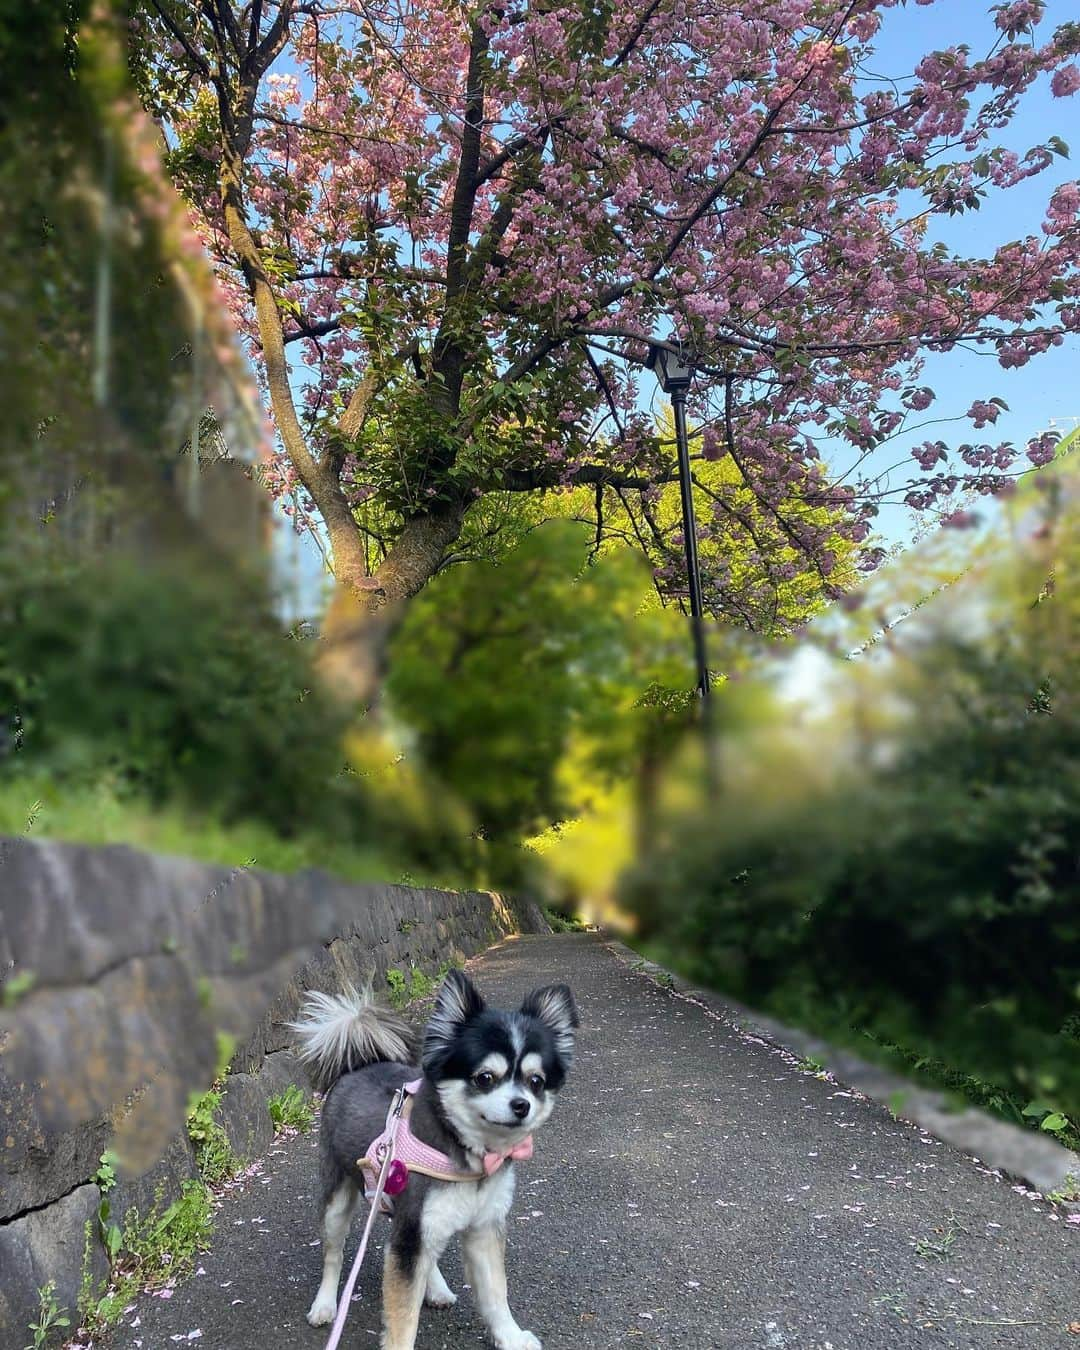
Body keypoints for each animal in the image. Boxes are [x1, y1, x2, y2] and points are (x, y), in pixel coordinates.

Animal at [284, 966, 572, 1344]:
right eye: (485, 1078)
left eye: (536, 1081)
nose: (521, 1105)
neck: (467, 1152)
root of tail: (360, 1063)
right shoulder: (410, 1239)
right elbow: (403, 1319)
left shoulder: (482, 1227)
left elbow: (496, 1294)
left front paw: (510, 1338)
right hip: (339, 1198)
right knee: (334, 1254)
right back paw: (325, 1305)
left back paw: (435, 1288)